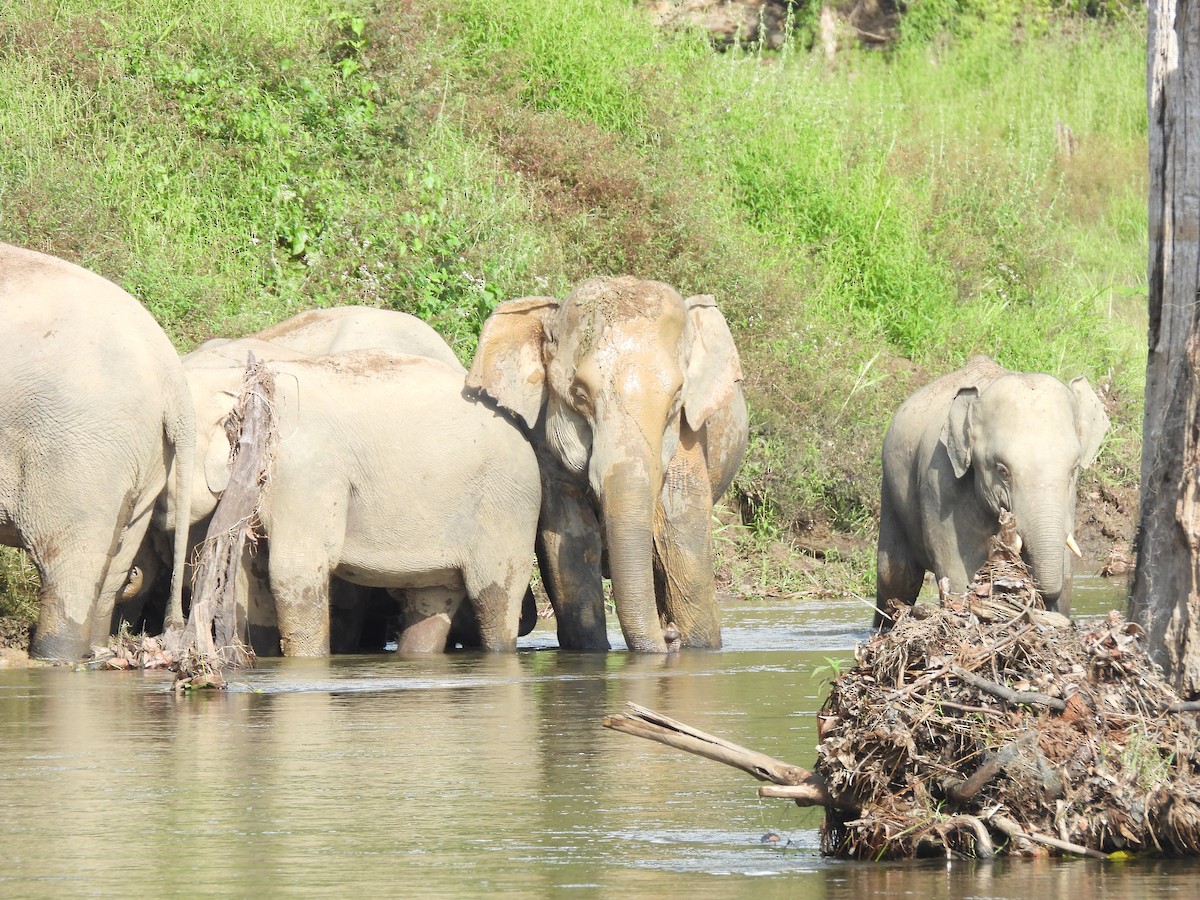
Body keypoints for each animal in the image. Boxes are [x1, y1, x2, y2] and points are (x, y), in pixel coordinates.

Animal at [0, 241, 195, 660]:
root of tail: (173, 378)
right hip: (146, 459)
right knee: (115, 563)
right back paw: (97, 651)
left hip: (78, 450)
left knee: (69, 563)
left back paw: (53, 657)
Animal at [182, 348, 541, 655]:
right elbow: (249, 573)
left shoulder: (305, 472)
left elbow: (295, 570)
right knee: (434, 596)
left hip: (505, 506)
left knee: (494, 598)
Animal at [466, 276, 748, 653]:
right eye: (580, 395)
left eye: (677, 398)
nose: (670, 636)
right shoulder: (543, 439)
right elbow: (571, 539)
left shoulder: (690, 435)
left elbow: (680, 530)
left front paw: (696, 645)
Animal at [874, 355, 1110, 627]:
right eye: (1002, 470)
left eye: (1073, 468)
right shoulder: (941, 483)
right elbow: (960, 572)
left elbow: (1066, 572)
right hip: (891, 490)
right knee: (897, 577)